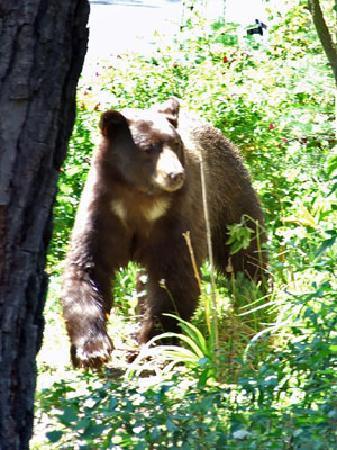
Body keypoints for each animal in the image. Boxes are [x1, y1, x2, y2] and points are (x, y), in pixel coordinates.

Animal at [61, 96, 266, 368]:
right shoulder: (103, 211)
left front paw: (154, 341)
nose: (175, 174)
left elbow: (175, 276)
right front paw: (92, 350)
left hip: (228, 198)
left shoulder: (176, 217)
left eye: (175, 143)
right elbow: (87, 269)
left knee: (245, 250)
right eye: (148, 148)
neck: (141, 198)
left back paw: (258, 295)